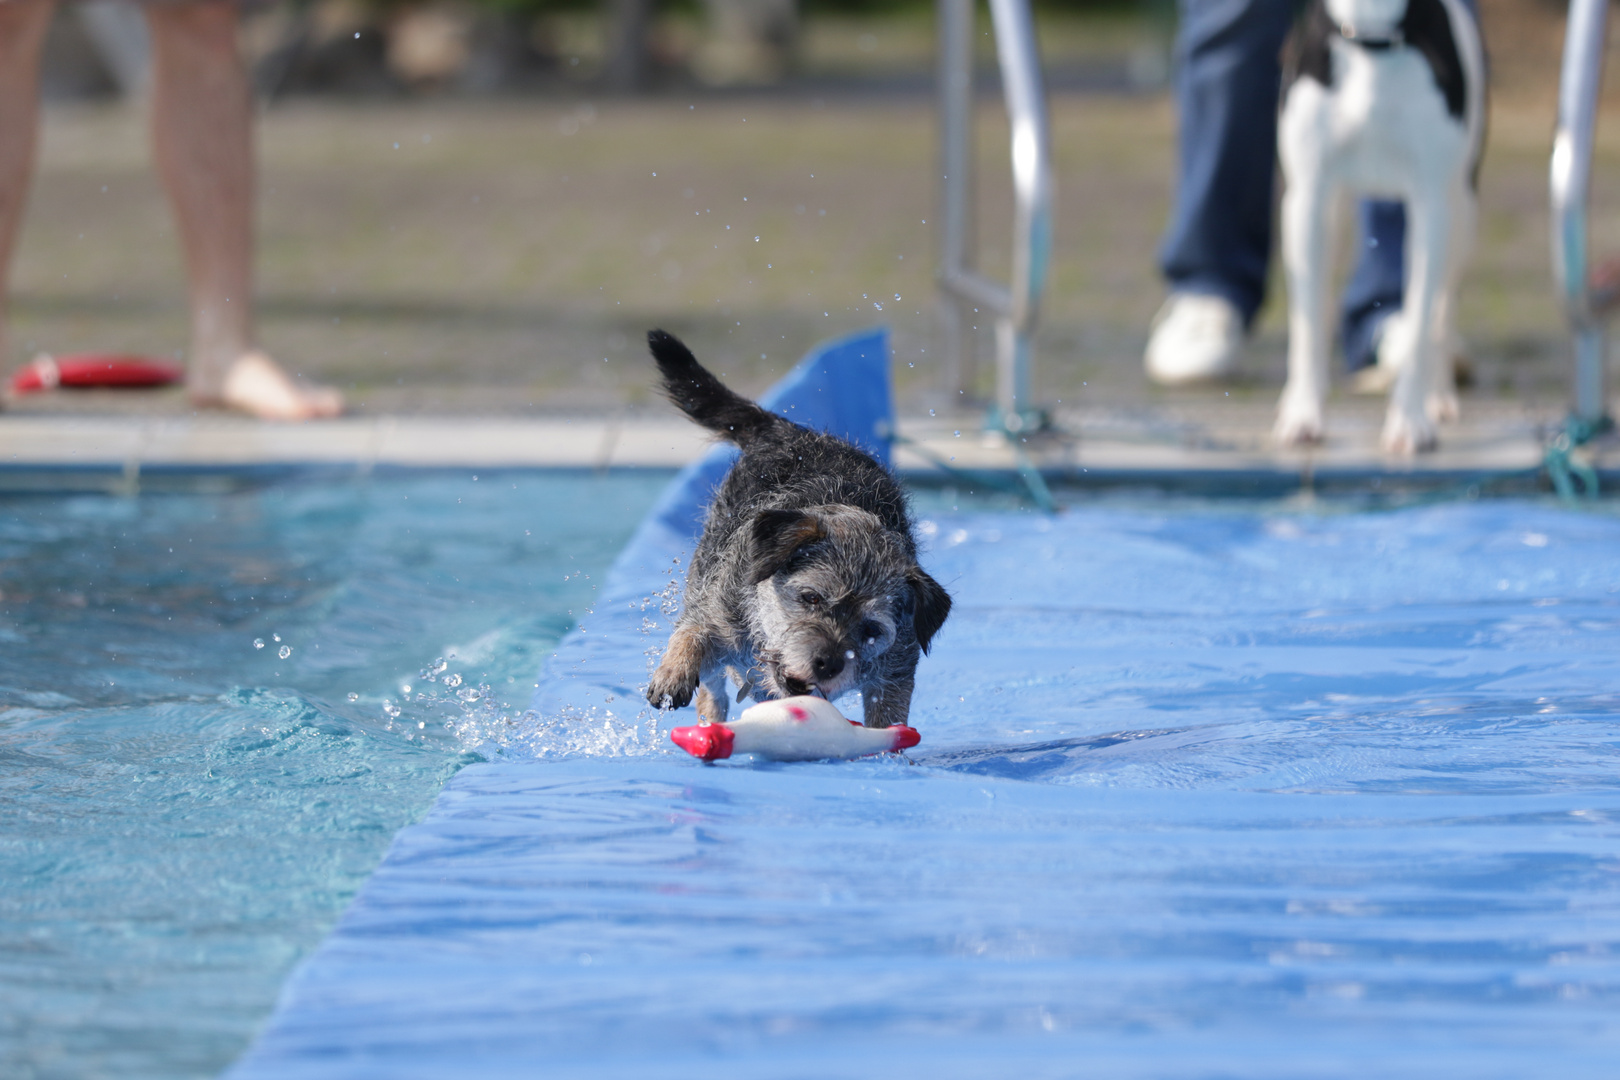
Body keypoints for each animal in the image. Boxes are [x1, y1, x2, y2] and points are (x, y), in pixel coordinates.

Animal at [641, 330, 946, 731]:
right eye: (811, 597)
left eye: (872, 631)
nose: (828, 663)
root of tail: (789, 431)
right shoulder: (717, 610)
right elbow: (691, 633)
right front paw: (673, 671)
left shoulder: (895, 670)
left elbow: (889, 717)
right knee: (712, 691)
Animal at [1270, 0, 1483, 453]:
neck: (1373, 34)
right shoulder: (1307, 198)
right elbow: (1308, 322)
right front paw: (1303, 413)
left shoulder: (1432, 207)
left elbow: (1421, 324)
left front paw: (1410, 421)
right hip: (1331, 210)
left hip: (1462, 214)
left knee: (1443, 310)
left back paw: (1438, 393)